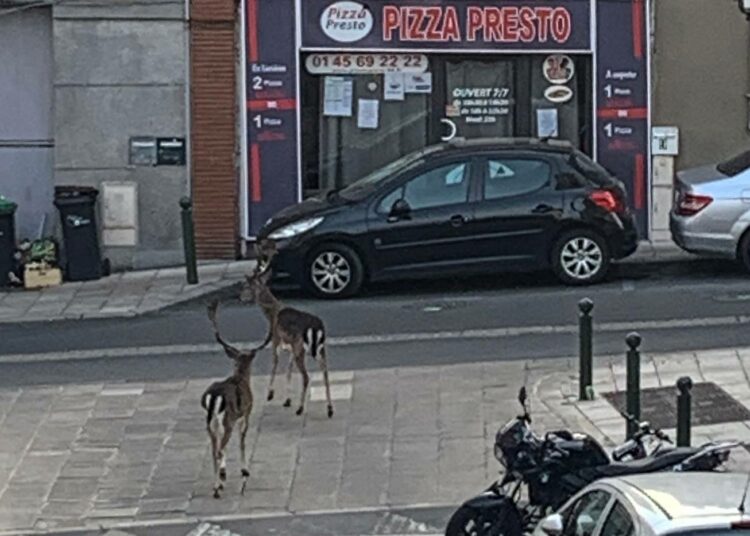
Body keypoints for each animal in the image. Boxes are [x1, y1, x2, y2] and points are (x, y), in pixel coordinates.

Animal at [201, 302, 260, 498]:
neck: (240, 378)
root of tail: (213, 396)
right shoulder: (246, 412)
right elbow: (242, 440)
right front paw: (244, 470)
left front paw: (224, 472)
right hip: (227, 420)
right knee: (219, 448)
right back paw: (217, 488)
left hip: (211, 423)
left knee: (214, 449)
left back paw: (216, 484)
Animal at [241, 241, 334, 420]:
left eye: (247, 286)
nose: (240, 297)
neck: (272, 313)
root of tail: (316, 328)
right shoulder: (290, 346)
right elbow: (288, 371)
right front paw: (287, 400)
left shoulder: (276, 339)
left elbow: (275, 364)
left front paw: (270, 394)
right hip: (320, 348)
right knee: (325, 373)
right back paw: (329, 409)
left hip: (301, 348)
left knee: (306, 377)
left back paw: (300, 408)